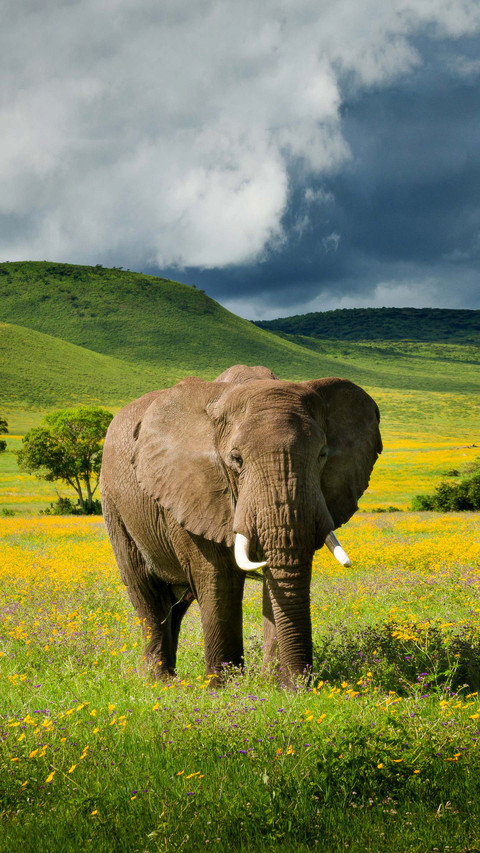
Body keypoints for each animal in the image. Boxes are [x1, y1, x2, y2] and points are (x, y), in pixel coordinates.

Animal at [100, 364, 382, 687]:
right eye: (236, 459)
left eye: (323, 455)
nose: (302, 684)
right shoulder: (193, 489)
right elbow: (218, 577)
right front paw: (225, 687)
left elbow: (280, 573)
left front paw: (273, 684)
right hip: (115, 506)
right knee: (149, 596)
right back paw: (160, 682)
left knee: (177, 604)